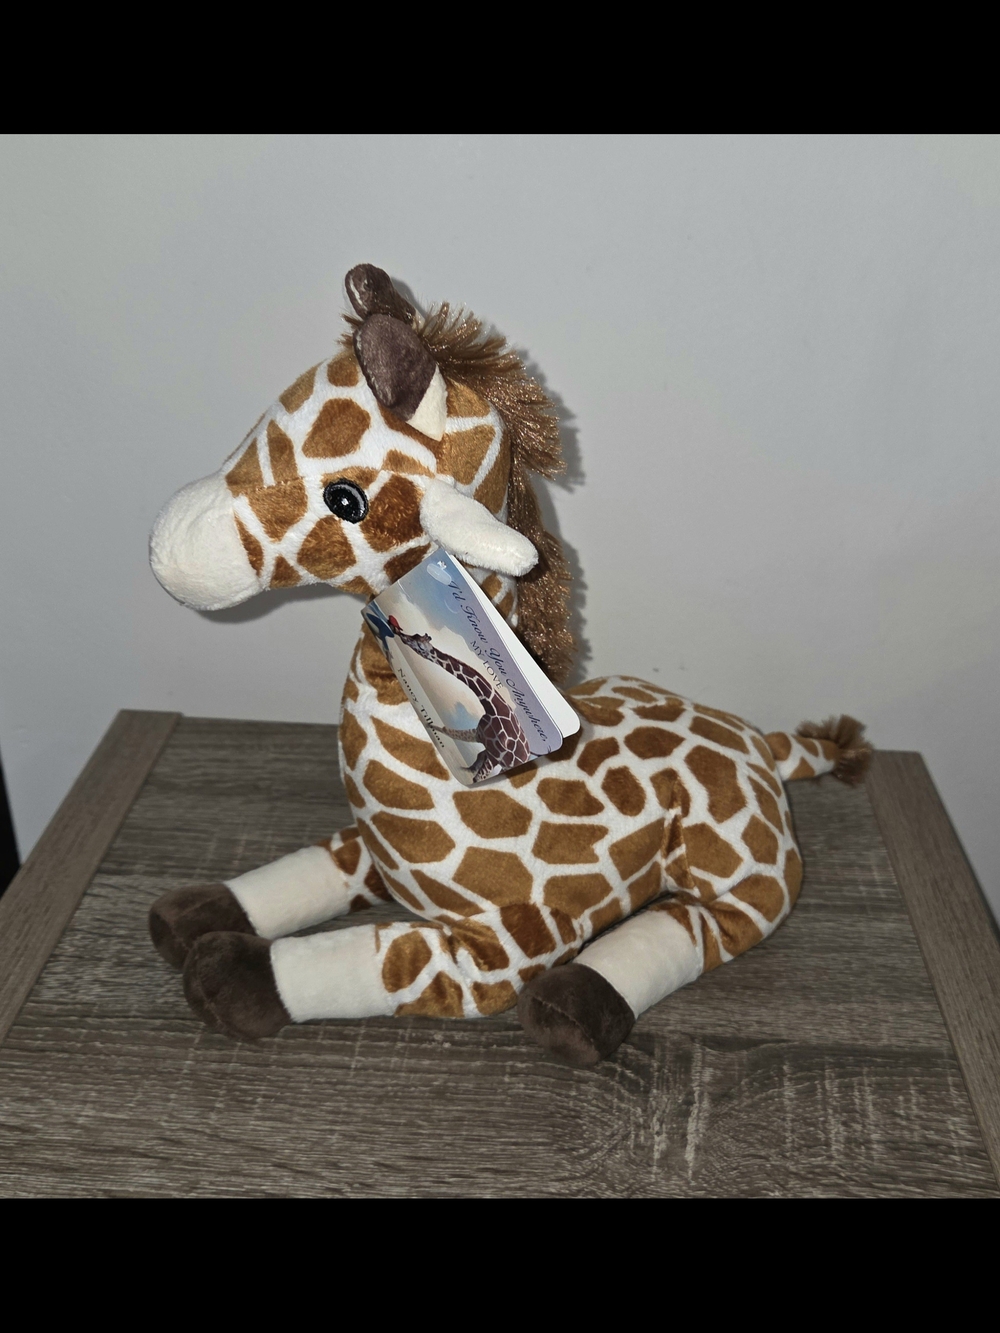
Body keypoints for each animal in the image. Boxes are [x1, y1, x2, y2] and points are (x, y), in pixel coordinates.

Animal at [377, 613, 533, 781]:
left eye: (420, 646)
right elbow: (447, 731)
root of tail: (527, 754)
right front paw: (428, 726)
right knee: (478, 757)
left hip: (503, 763)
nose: (398, 631)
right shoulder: (478, 734)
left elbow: (477, 776)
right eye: (416, 635)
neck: (493, 707)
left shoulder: (494, 756)